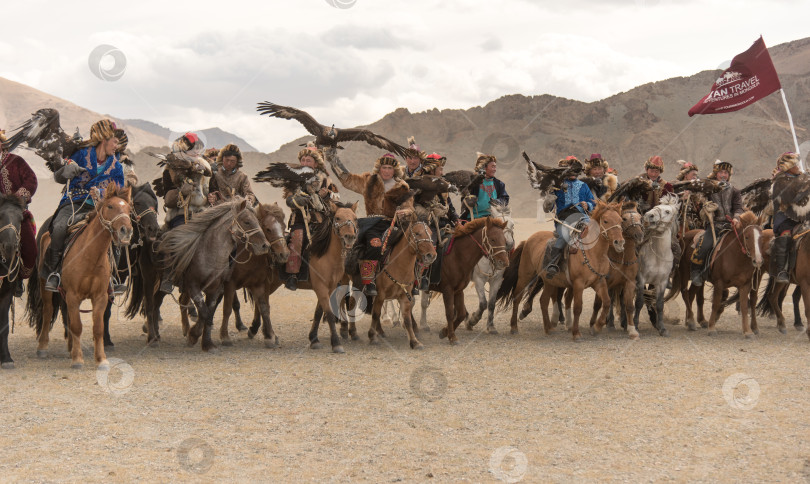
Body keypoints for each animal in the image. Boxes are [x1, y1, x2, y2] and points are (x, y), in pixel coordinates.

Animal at [30, 187, 133, 368]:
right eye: (110, 206)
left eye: (128, 208)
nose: (126, 231)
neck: (90, 256)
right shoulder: (73, 295)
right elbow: (77, 326)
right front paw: (78, 359)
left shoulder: (100, 297)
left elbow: (97, 328)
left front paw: (101, 359)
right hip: (45, 287)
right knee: (48, 311)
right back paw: (42, 347)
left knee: (67, 315)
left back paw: (71, 347)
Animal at [216, 202, 288, 346]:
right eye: (268, 229)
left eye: (284, 226)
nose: (284, 254)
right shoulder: (230, 283)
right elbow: (227, 308)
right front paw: (224, 336)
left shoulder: (259, 283)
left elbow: (264, 307)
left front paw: (269, 335)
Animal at [492, 200, 624, 340]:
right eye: (605, 221)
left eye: (621, 220)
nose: (619, 243)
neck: (592, 253)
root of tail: (528, 240)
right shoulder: (578, 284)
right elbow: (578, 307)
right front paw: (576, 333)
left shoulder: (599, 282)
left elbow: (607, 302)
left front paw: (597, 327)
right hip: (525, 276)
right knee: (517, 297)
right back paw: (514, 327)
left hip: (549, 281)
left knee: (543, 301)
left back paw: (549, 328)